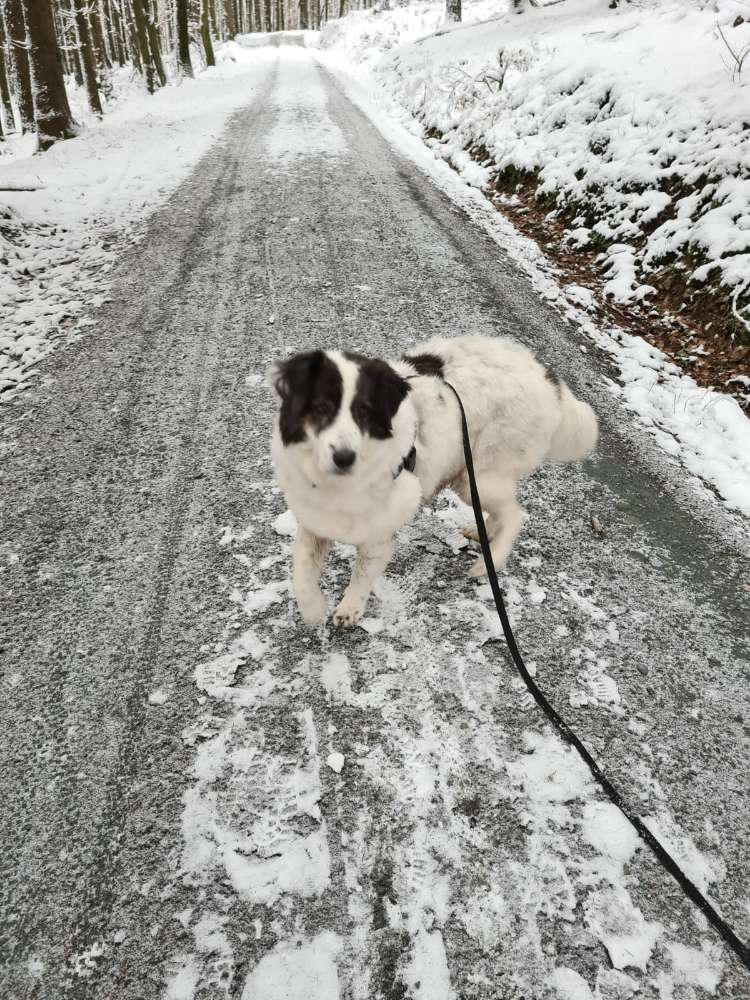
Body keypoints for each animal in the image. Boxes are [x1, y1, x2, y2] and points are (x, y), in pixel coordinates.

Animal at [270, 336, 600, 624]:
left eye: (364, 412)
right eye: (321, 407)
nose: (344, 457)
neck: (338, 484)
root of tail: (549, 380)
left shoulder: (380, 535)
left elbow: (362, 574)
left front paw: (350, 608)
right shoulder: (315, 521)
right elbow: (301, 575)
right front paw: (314, 611)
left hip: (478, 475)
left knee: (515, 514)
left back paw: (489, 561)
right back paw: (481, 532)